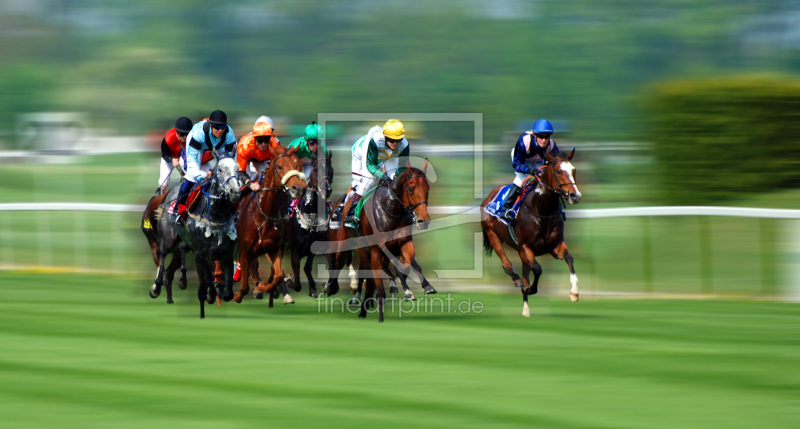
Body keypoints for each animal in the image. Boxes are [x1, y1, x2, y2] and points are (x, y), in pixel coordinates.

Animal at [233, 145, 308, 306]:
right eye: (280, 166)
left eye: (298, 165)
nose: (298, 188)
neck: (263, 214)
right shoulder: (244, 251)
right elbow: (244, 287)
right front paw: (237, 295)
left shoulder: (275, 247)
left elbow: (278, 276)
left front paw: (265, 287)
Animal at [324, 160, 432, 320]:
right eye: (411, 189)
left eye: (427, 188)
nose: (423, 220)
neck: (391, 210)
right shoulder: (377, 248)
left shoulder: (404, 243)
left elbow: (410, 265)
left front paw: (425, 287)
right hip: (346, 242)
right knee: (339, 261)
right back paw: (333, 287)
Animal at [478, 149, 584, 316]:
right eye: (558, 171)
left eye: (574, 170)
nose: (575, 195)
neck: (542, 210)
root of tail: (488, 197)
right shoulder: (524, 247)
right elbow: (538, 269)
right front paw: (531, 288)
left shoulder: (555, 246)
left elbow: (569, 259)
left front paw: (574, 293)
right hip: (492, 234)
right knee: (507, 266)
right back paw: (518, 282)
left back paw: (526, 309)